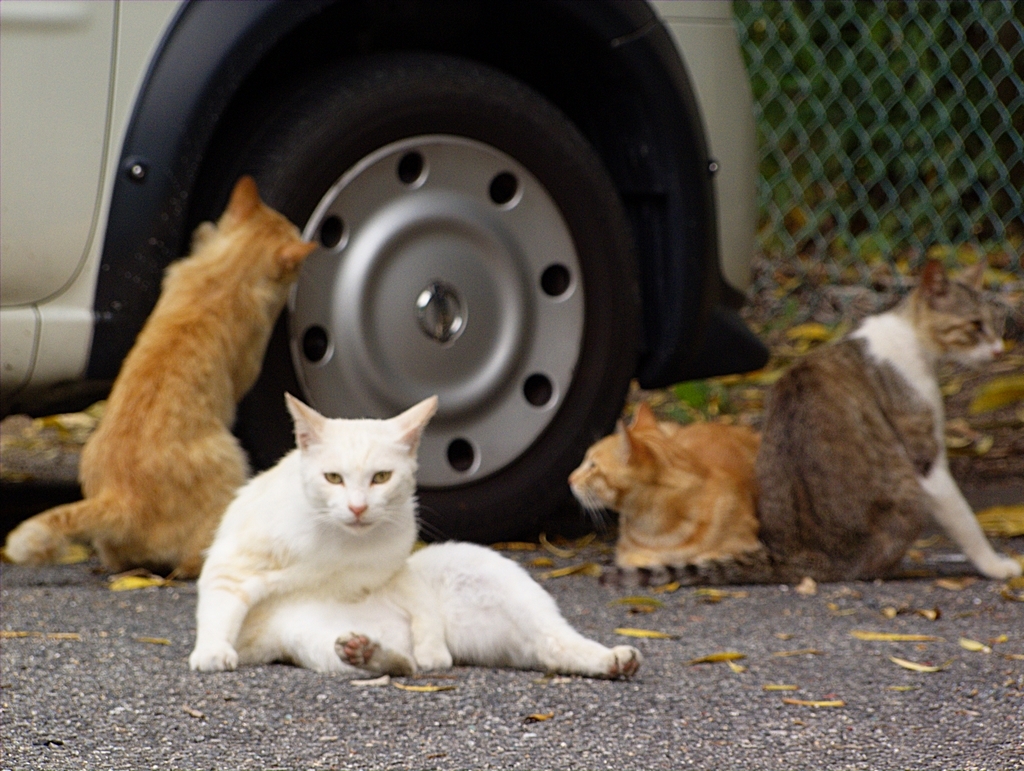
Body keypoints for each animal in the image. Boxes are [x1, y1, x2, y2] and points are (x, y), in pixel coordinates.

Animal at [3, 177, 315, 573]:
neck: (227, 272)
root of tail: (120, 498)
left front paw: (206, 232)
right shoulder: (247, 367)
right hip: (231, 459)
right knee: (192, 562)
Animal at [189, 393, 638, 675]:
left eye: (381, 478)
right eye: (332, 478)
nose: (357, 507)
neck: (336, 545)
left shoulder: (394, 568)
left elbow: (421, 606)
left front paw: (432, 649)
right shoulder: (232, 565)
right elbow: (219, 607)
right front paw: (211, 651)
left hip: (478, 568)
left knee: (553, 643)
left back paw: (613, 659)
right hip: (310, 641)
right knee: (398, 664)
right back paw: (369, 652)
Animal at [569, 403, 761, 573]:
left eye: (592, 466)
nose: (569, 479)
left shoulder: (745, 543)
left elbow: (709, 556)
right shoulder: (628, 554)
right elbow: (647, 560)